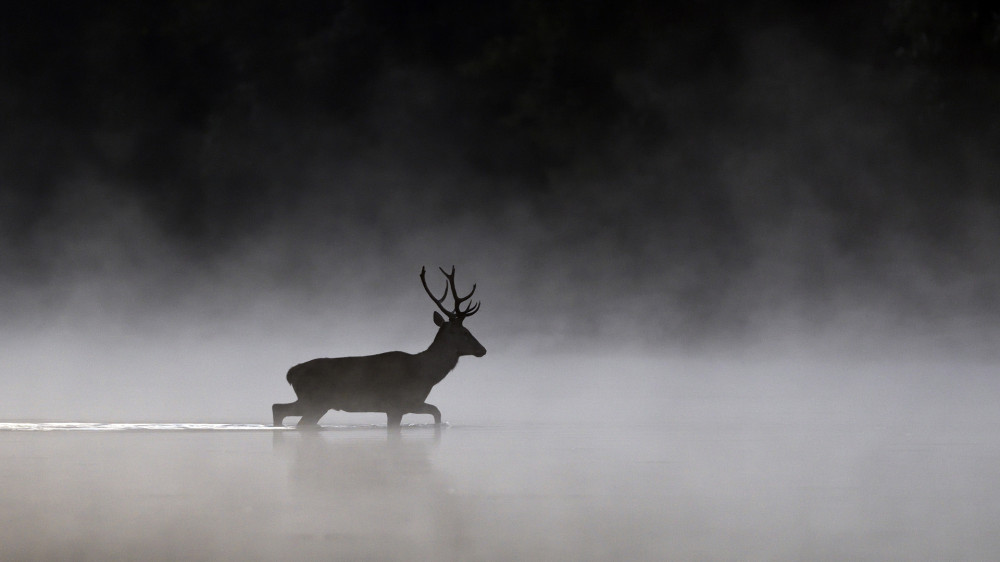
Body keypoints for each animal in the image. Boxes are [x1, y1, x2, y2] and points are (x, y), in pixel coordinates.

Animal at [274, 266, 488, 428]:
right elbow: (436, 413)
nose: (483, 350)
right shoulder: (397, 404)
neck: (425, 373)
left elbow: (437, 412)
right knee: (280, 409)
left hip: (317, 403)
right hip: (314, 400)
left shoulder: (408, 404)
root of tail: (291, 373)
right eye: (464, 332)